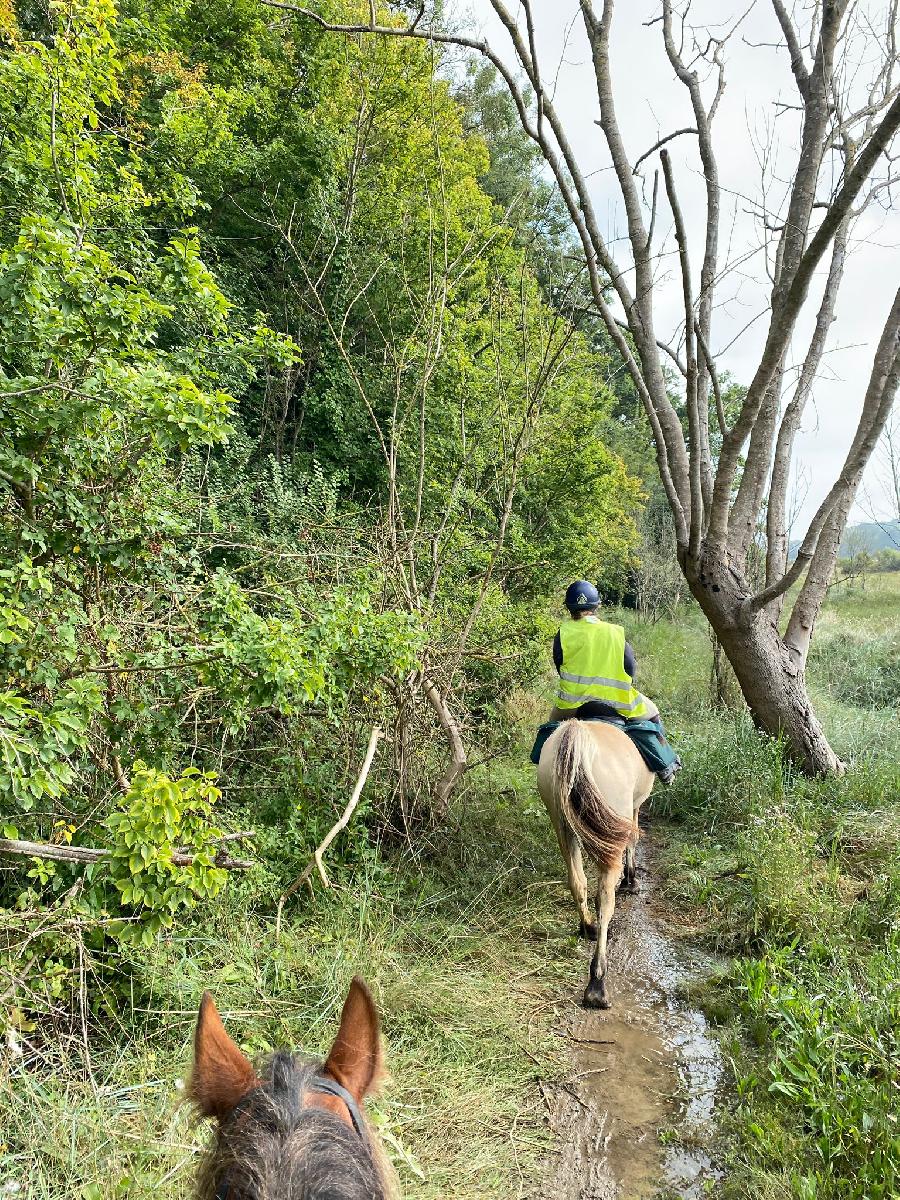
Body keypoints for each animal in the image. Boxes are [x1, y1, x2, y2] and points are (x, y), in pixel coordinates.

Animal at [535, 715, 657, 1008]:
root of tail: (577, 734)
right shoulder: (632, 809)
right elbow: (633, 842)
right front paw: (631, 881)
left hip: (561, 821)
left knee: (577, 881)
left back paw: (587, 926)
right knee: (604, 899)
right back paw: (597, 984)